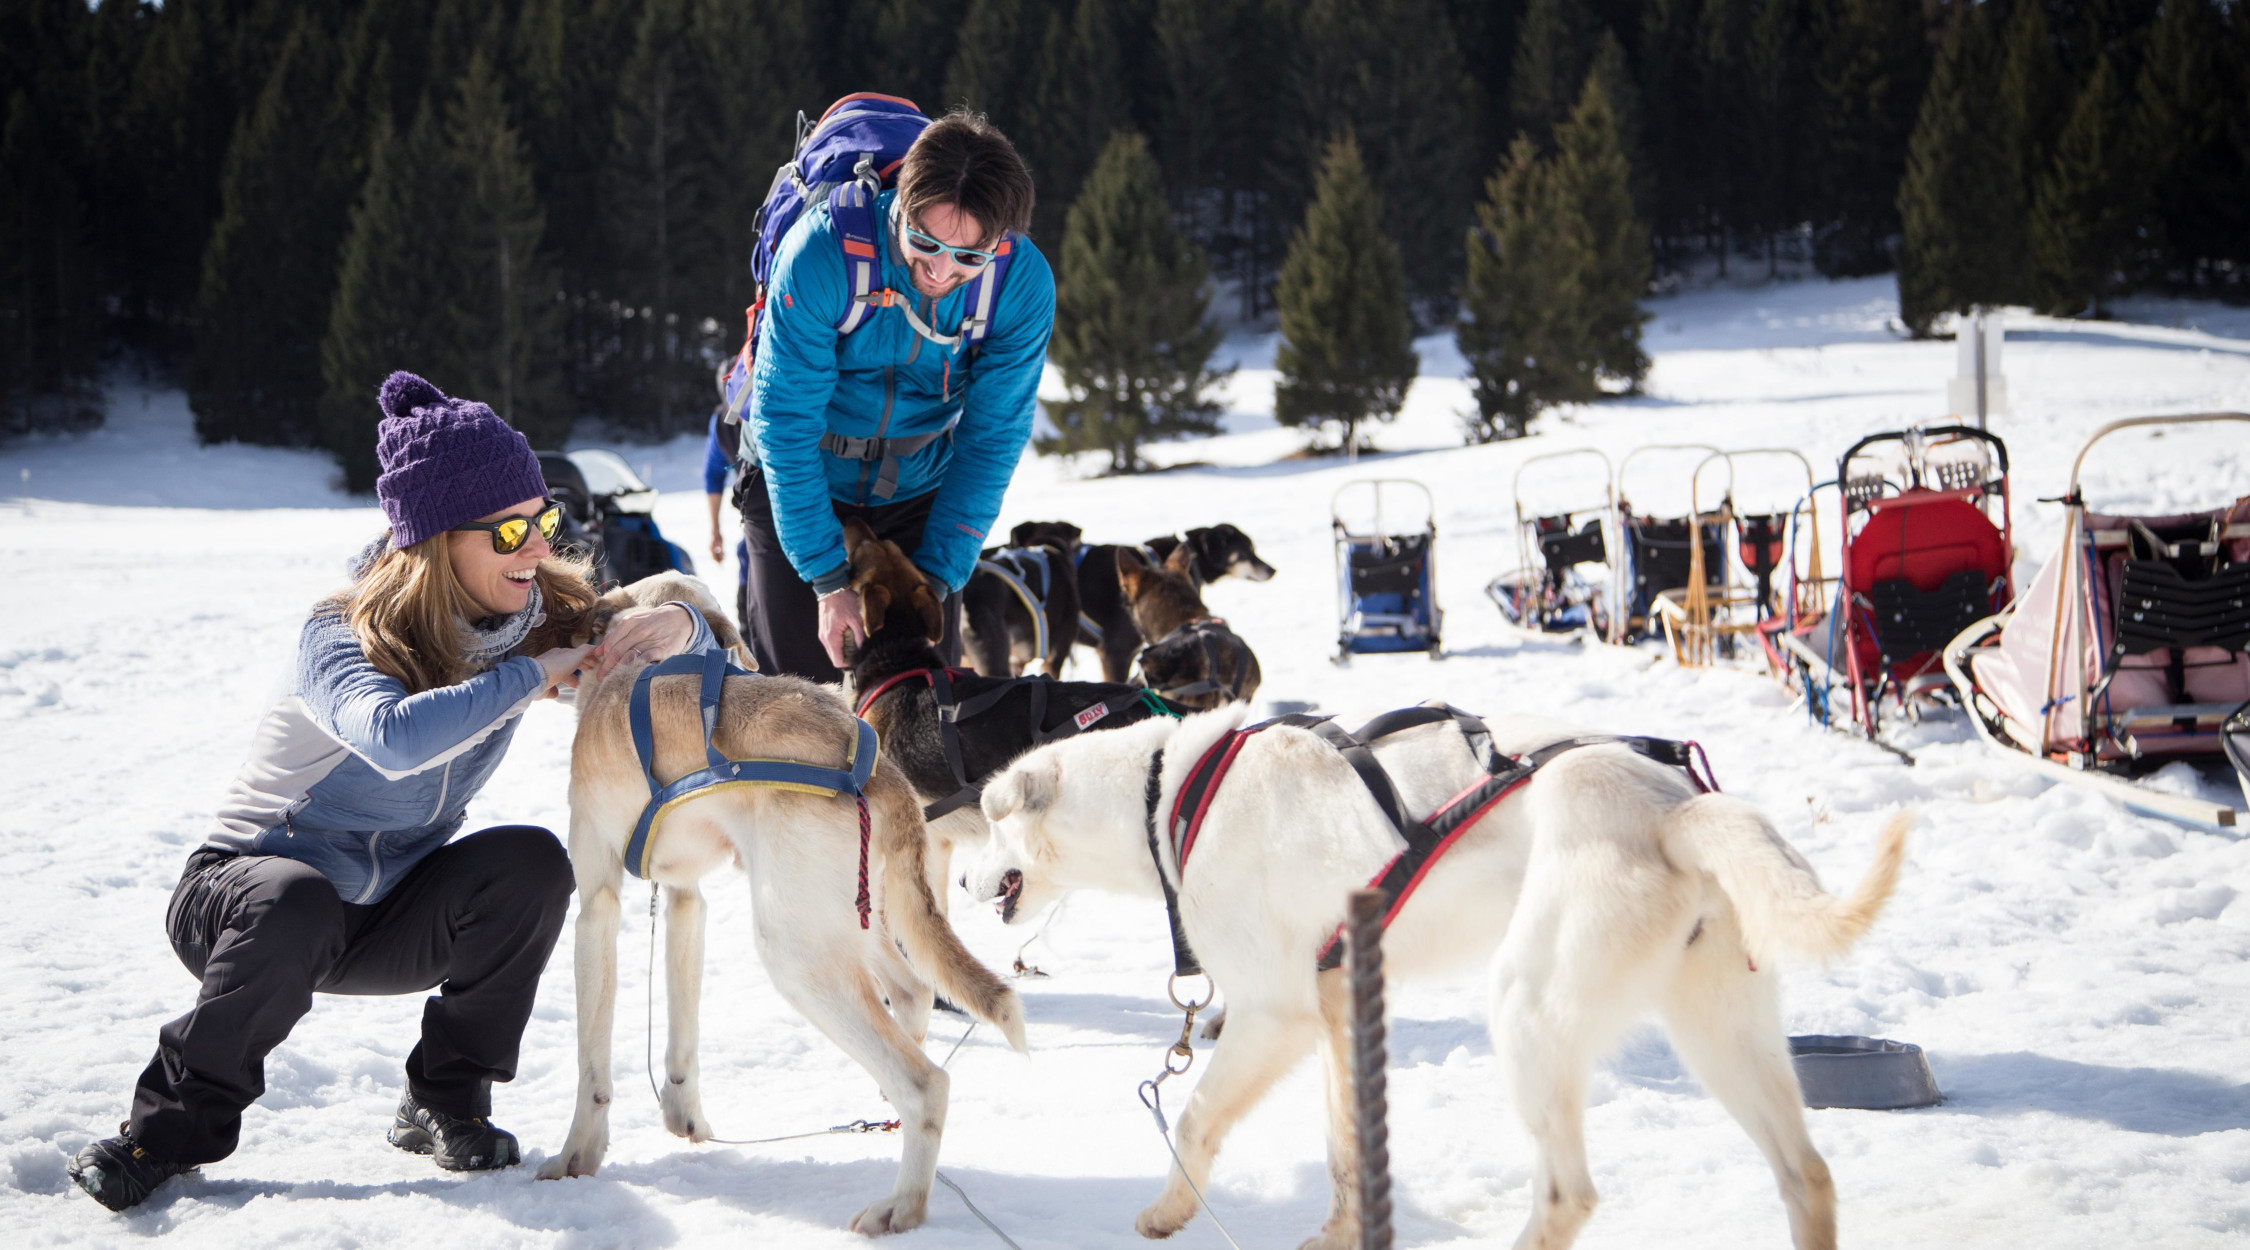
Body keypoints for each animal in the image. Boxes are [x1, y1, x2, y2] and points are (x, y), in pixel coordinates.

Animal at [535, 580, 1030, 1241]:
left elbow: (592, 1062)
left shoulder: (596, 909)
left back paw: (901, 1207)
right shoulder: (687, 899)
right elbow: (682, 1034)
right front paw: (684, 1115)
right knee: (913, 993)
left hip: (796, 953)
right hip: (850, 923)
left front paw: (576, 1158)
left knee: (927, 1084)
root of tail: (878, 768)